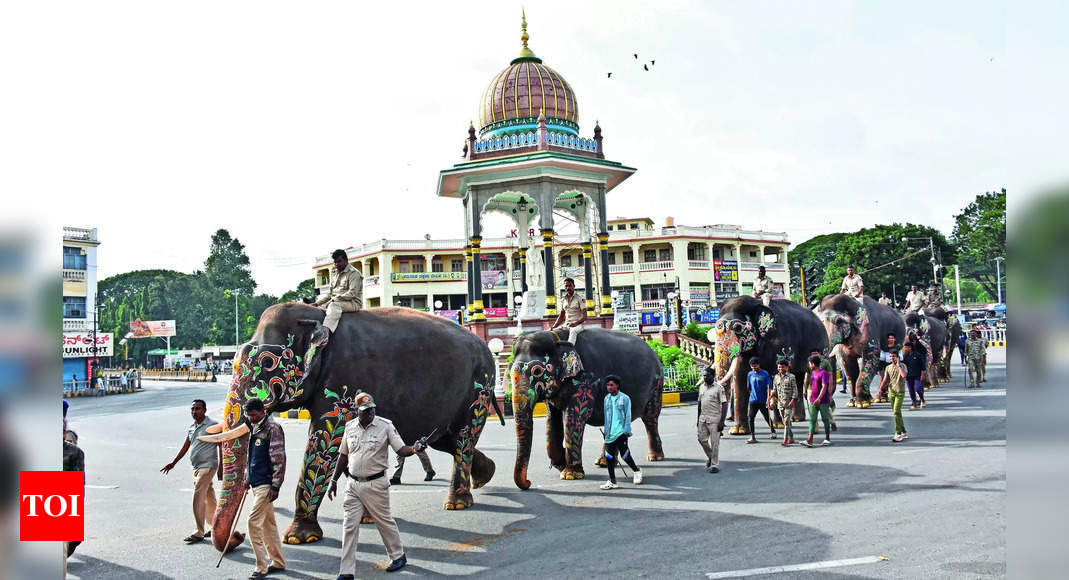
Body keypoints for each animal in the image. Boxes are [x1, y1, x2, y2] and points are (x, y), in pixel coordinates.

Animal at [202, 303, 502, 555]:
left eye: (266, 363)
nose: (238, 537)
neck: (318, 316)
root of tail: (486, 348)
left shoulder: (342, 382)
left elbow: (323, 447)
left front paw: (299, 537)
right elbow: (344, 449)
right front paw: (366, 518)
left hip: (478, 388)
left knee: (463, 438)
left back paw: (457, 503)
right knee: (448, 440)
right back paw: (485, 475)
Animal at [506, 328, 658, 487]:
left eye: (537, 371)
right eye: (509, 370)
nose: (529, 482)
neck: (557, 338)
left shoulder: (584, 381)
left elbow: (574, 418)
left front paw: (570, 475)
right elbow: (552, 419)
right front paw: (561, 464)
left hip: (656, 383)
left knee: (650, 418)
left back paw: (654, 457)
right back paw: (604, 462)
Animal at [714, 296, 829, 433]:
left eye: (737, 328)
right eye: (715, 327)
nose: (720, 430)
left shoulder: (779, 345)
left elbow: (775, 376)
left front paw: (779, 425)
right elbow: (740, 378)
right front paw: (737, 431)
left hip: (823, 349)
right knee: (798, 377)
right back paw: (796, 419)